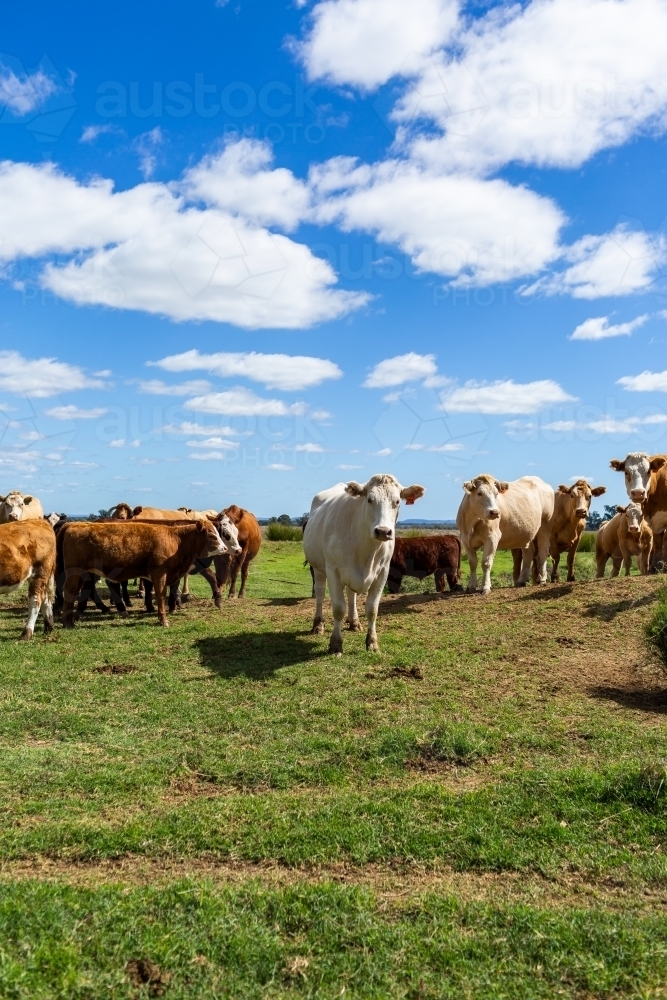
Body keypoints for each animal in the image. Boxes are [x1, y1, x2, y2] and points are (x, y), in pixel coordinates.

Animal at [58, 519, 227, 627]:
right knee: (69, 591)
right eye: (211, 535)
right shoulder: (159, 574)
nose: (225, 548)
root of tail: (75, 523)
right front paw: (163, 620)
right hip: (75, 572)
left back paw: (72, 619)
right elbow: (160, 596)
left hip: (83, 573)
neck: (176, 540)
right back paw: (67, 622)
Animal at [303, 474, 425, 654]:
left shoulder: (382, 573)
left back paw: (354, 622)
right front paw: (335, 644)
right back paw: (318, 625)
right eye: (369, 499)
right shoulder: (333, 571)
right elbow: (338, 608)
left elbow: (372, 609)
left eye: (397, 501)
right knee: (319, 594)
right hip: (318, 568)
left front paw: (372, 642)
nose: (383, 531)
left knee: (351, 595)